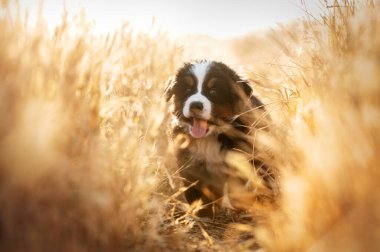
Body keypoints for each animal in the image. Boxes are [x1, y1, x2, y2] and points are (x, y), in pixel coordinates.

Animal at [165, 59, 274, 217]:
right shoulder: (190, 162)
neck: (210, 136)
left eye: (213, 92)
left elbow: (240, 187)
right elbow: (197, 189)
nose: (195, 105)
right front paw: (202, 211)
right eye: (187, 90)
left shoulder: (241, 157)